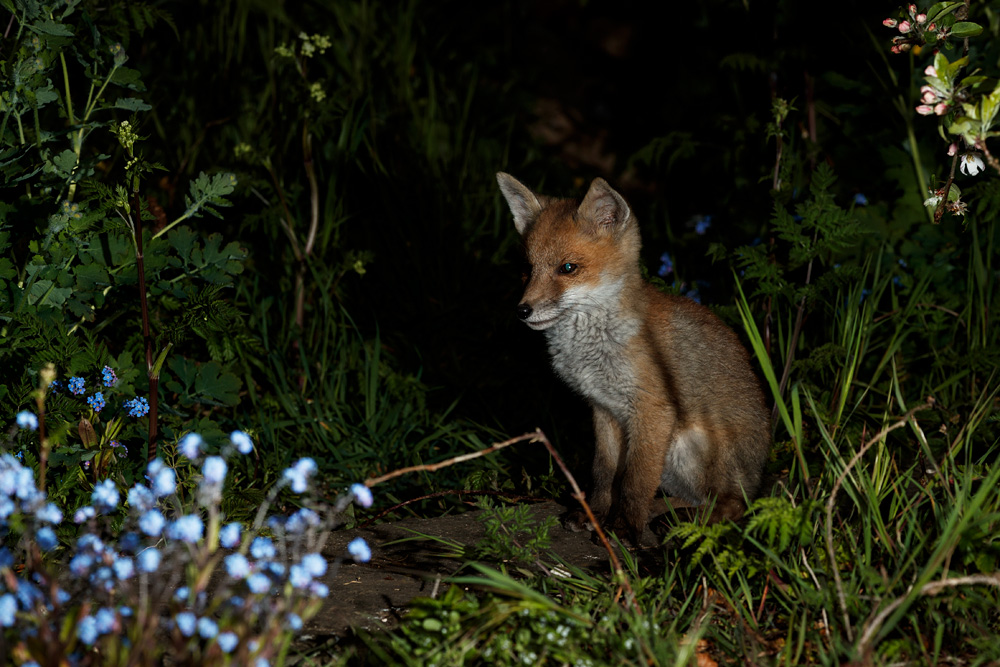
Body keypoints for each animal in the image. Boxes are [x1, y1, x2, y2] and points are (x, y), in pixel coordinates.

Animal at [497, 172, 771, 544]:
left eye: (567, 268)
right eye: (527, 269)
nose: (522, 310)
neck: (592, 351)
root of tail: (757, 479)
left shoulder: (651, 410)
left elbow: (634, 481)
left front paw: (625, 529)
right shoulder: (603, 410)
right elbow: (604, 474)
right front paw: (596, 515)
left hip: (688, 444)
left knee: (731, 507)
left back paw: (682, 521)